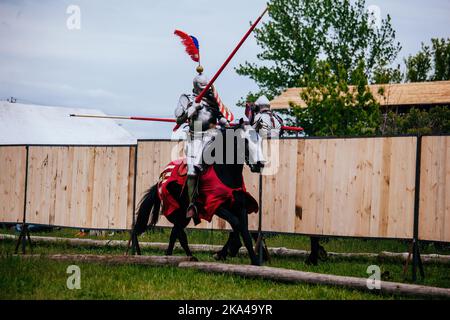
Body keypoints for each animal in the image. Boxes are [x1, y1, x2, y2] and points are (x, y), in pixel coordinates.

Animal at [131, 124, 264, 266]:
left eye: (260, 139)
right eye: (245, 141)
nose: (260, 164)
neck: (225, 174)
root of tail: (160, 180)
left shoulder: (240, 207)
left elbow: (244, 232)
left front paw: (255, 261)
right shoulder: (215, 207)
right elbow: (236, 223)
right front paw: (231, 249)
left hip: (184, 216)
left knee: (176, 233)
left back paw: (178, 257)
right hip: (177, 212)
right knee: (178, 234)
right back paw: (176, 258)